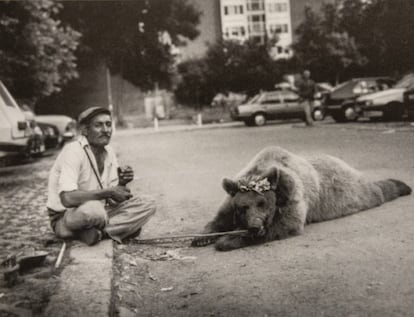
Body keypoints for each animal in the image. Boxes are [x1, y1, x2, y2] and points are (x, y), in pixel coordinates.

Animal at [192, 146, 412, 252]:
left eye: (263, 203)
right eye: (243, 207)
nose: (254, 226)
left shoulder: (292, 196)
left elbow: (286, 225)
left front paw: (227, 239)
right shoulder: (230, 202)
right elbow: (217, 220)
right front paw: (201, 238)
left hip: (347, 191)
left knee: (373, 192)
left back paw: (400, 186)